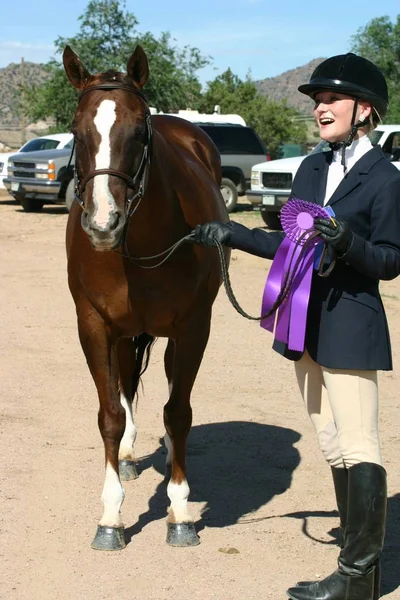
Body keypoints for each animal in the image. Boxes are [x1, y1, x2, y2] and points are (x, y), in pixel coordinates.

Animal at [63, 45, 230, 552]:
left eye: (139, 131)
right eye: (75, 131)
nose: (103, 223)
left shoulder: (193, 326)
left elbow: (178, 413)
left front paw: (179, 511)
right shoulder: (94, 325)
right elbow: (110, 415)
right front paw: (110, 517)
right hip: (122, 333)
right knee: (126, 388)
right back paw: (128, 456)